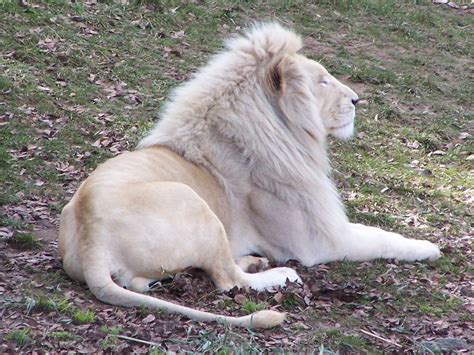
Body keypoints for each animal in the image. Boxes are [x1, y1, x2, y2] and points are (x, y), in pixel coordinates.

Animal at [59, 23, 440, 330]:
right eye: (321, 81)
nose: (357, 100)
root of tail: (93, 244)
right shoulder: (317, 242)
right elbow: (381, 238)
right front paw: (428, 247)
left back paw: (252, 260)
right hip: (194, 203)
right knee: (228, 279)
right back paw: (276, 271)